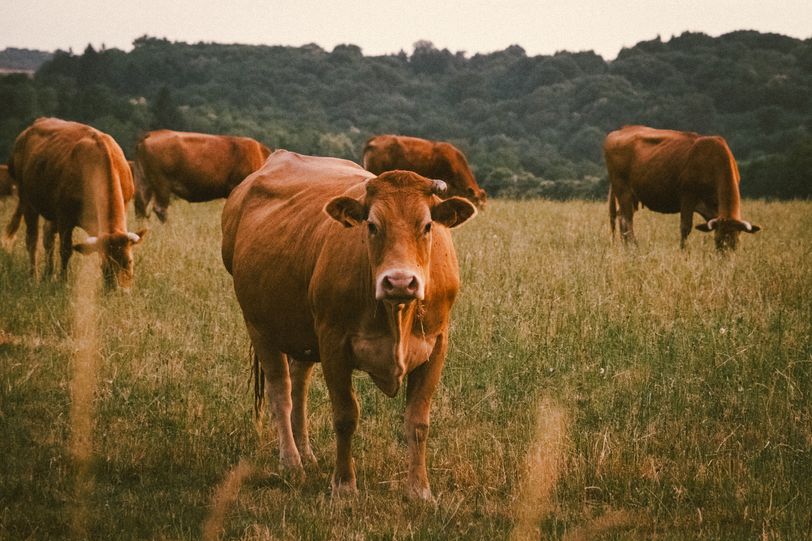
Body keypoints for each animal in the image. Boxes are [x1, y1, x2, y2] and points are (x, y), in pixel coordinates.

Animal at [4, 118, 146, 289]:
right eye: (105, 265)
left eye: (129, 261)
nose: (121, 291)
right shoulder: (65, 218)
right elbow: (65, 250)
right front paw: (63, 281)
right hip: (27, 200)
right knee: (32, 240)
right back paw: (34, 277)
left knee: (48, 237)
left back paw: (48, 275)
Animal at [222, 150, 477, 500]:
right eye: (372, 225)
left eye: (427, 226)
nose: (400, 282)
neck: (396, 314)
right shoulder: (333, 342)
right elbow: (345, 416)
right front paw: (344, 485)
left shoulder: (436, 345)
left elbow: (418, 421)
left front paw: (419, 489)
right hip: (260, 326)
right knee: (281, 392)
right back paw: (291, 461)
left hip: (302, 335)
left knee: (299, 385)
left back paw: (307, 453)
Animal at [604, 125, 760, 250]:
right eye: (718, 240)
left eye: (736, 241)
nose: (725, 259)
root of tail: (621, 129)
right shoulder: (687, 196)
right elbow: (685, 227)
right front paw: (683, 251)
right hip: (623, 190)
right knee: (626, 221)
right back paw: (633, 248)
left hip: (631, 196)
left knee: (621, 219)